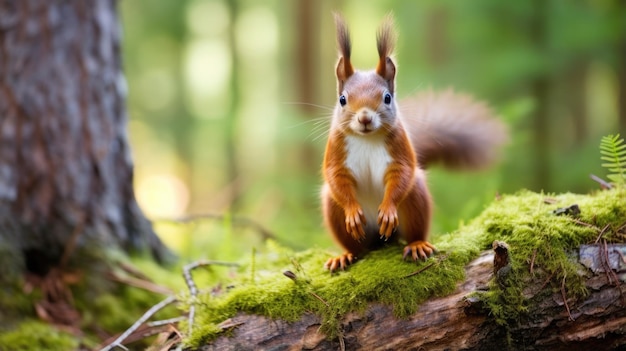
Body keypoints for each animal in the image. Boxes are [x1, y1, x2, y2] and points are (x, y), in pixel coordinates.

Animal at [322, 14, 508, 272]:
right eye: (342, 99)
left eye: (387, 98)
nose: (365, 118)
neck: (367, 138)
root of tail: (380, 239)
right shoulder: (336, 148)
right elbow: (336, 175)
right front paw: (352, 211)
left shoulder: (399, 145)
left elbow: (402, 173)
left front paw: (388, 210)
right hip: (333, 207)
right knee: (357, 245)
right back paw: (346, 255)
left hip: (415, 197)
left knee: (411, 225)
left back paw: (417, 244)